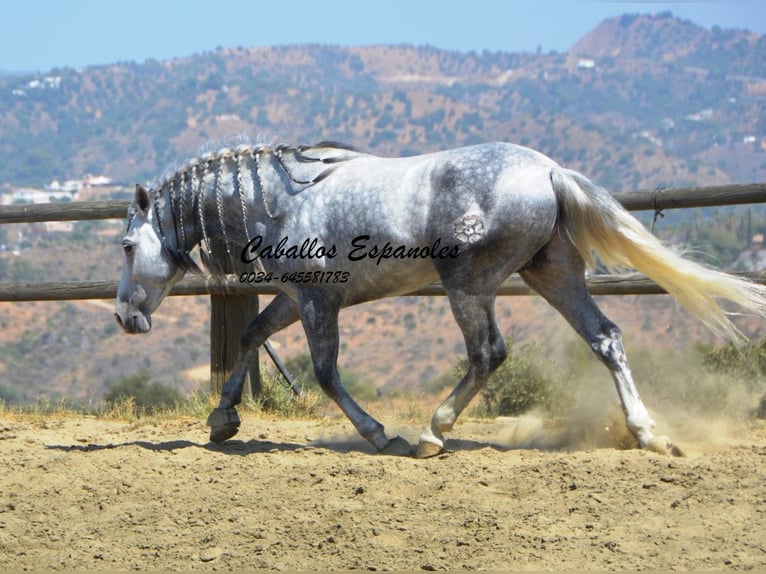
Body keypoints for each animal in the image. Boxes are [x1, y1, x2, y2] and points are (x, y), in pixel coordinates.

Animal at [115, 143, 766, 460]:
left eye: (125, 246)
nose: (125, 318)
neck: (279, 201)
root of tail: (550, 171)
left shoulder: (319, 302)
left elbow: (325, 373)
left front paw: (384, 437)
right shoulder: (298, 297)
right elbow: (252, 337)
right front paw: (222, 421)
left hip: (469, 284)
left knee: (488, 354)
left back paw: (432, 435)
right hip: (551, 272)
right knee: (605, 338)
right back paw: (649, 436)